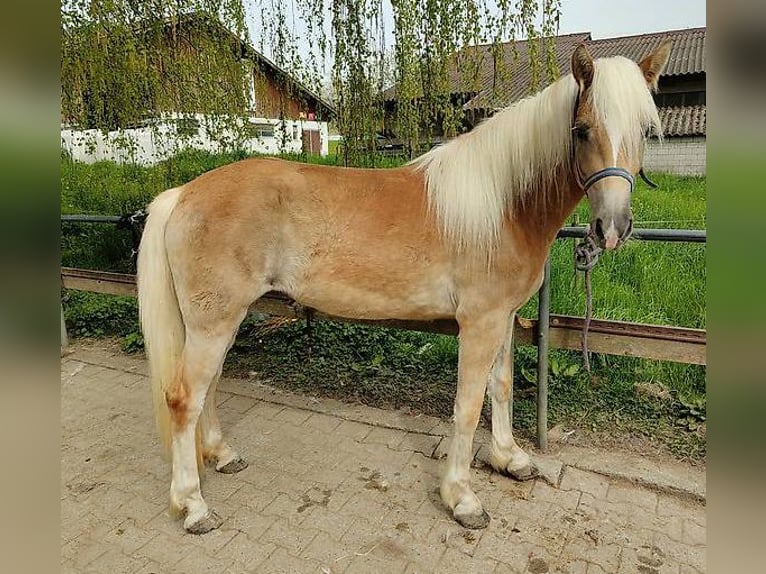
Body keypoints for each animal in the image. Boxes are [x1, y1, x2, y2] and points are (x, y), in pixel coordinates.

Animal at [136, 40, 672, 536]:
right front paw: (462, 498)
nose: (612, 228)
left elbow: (500, 387)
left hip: (221, 321)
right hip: (213, 322)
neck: (504, 206)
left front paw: (509, 459)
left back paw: (222, 456)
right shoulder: (479, 323)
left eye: (646, 131)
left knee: (208, 389)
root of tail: (182, 194)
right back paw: (194, 505)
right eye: (582, 130)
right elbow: (468, 405)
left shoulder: (502, 319)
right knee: (184, 398)